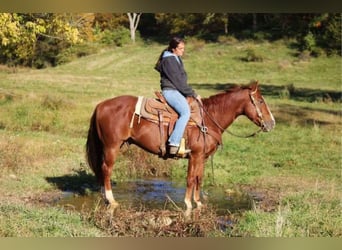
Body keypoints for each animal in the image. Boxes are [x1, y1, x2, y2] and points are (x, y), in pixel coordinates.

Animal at [85, 80, 276, 215]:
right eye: (260, 101)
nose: (271, 123)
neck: (209, 119)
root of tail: (101, 105)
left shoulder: (202, 157)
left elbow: (199, 178)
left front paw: (198, 203)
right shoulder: (195, 156)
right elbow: (191, 179)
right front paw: (188, 204)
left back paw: (105, 197)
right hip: (111, 147)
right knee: (106, 169)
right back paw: (111, 199)